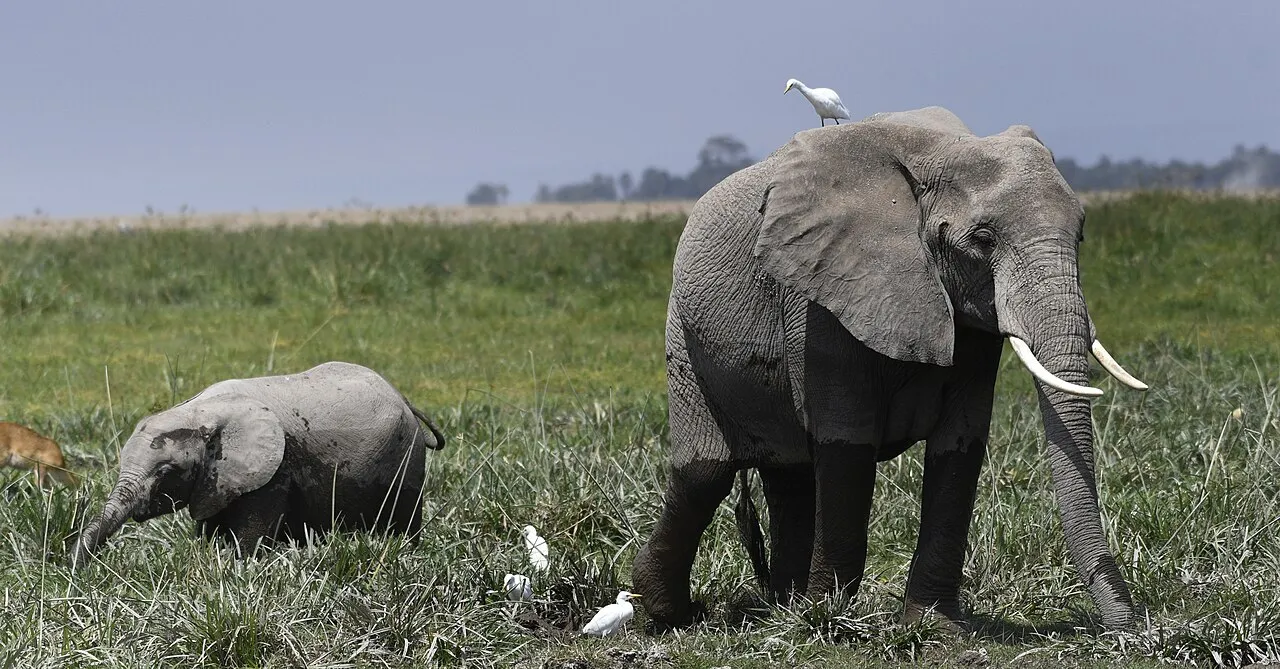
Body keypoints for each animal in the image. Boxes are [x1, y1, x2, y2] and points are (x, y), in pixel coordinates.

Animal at [70, 361, 445, 568]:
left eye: (165, 473)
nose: (74, 571)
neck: (202, 411)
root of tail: (405, 399)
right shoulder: (218, 478)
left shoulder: (274, 472)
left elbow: (249, 537)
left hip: (406, 458)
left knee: (403, 520)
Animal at [631, 106, 1149, 631]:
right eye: (983, 239)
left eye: (1081, 233)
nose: (1129, 629)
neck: (938, 153)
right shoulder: (822, 301)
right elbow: (847, 446)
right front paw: (828, 622)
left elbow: (960, 446)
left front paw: (935, 627)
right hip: (685, 339)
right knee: (706, 475)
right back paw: (675, 613)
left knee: (789, 474)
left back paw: (784, 604)